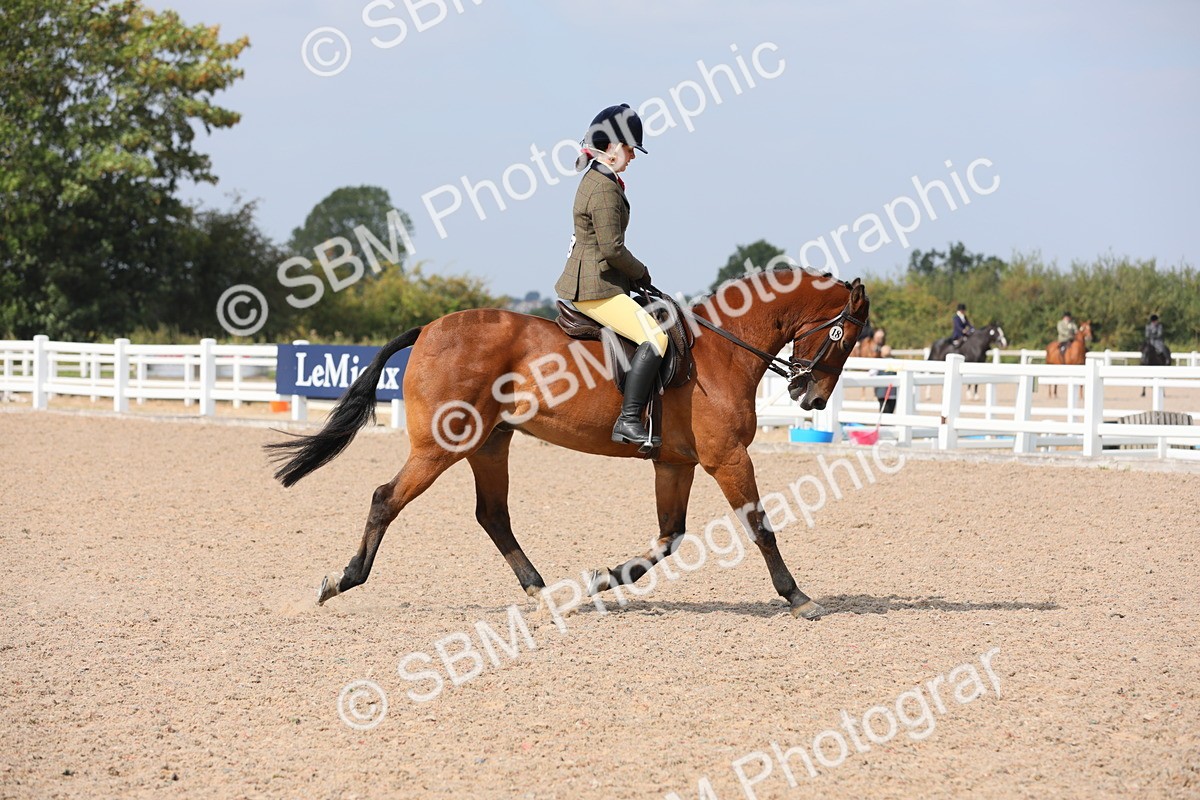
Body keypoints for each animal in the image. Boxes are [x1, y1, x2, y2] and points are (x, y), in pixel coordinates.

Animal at [265, 270, 869, 621]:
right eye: (844, 335)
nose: (812, 397)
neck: (723, 351)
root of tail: (430, 328)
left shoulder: (676, 464)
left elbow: (668, 539)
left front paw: (601, 581)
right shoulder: (728, 460)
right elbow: (761, 527)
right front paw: (799, 598)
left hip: (489, 444)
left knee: (493, 516)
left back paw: (546, 594)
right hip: (440, 447)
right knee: (386, 499)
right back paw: (341, 580)